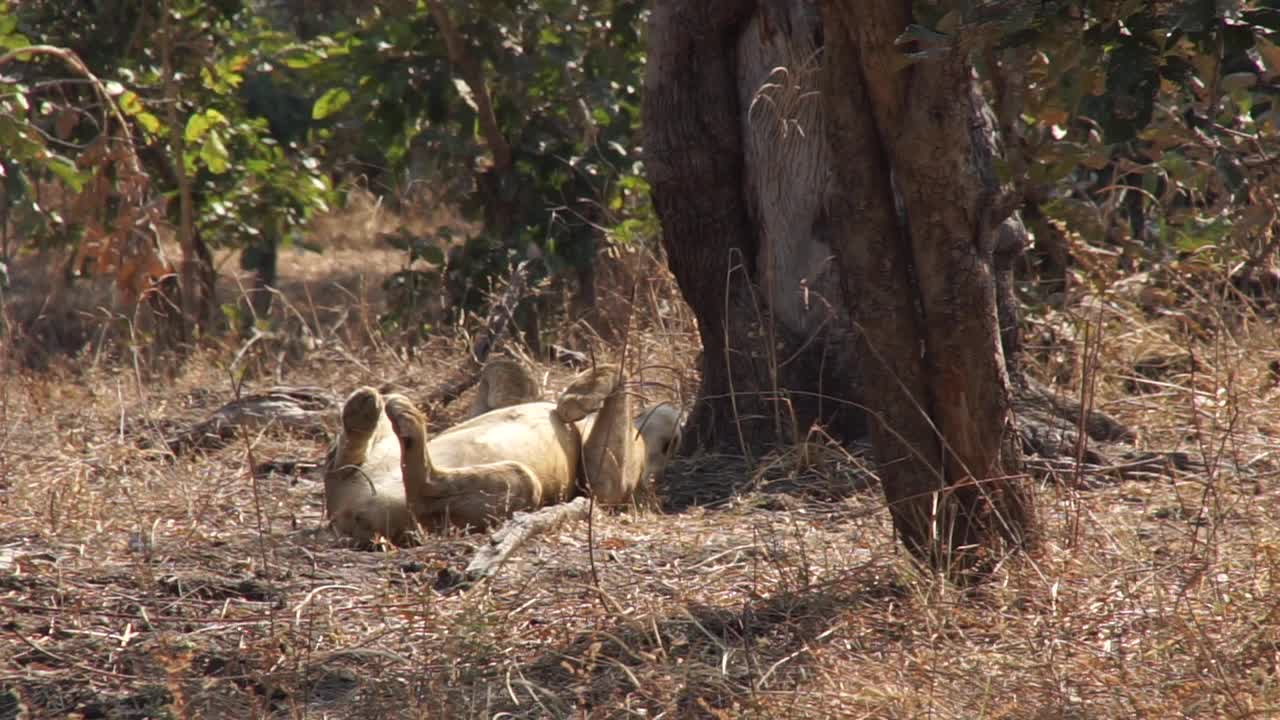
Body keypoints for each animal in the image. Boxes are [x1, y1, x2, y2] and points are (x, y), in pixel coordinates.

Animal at [322, 361, 680, 540]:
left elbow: (619, 372)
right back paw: (364, 407)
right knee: (340, 465)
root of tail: (345, 514)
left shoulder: (605, 488)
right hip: (372, 461)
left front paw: (573, 402)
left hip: (523, 484)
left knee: (423, 492)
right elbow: (507, 370)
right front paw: (573, 399)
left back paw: (405, 418)